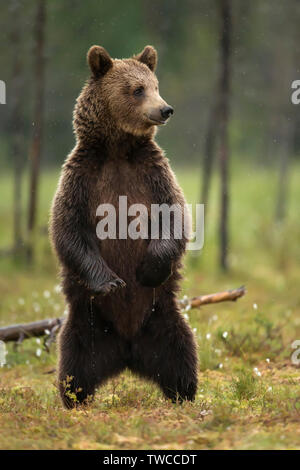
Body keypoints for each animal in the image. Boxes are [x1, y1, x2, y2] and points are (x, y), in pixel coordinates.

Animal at [50, 44, 198, 408]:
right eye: (137, 89)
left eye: (156, 85)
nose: (165, 109)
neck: (118, 148)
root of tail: (128, 350)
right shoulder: (82, 176)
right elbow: (69, 229)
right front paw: (114, 283)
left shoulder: (152, 173)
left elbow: (174, 217)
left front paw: (146, 269)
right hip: (87, 324)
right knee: (74, 364)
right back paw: (74, 398)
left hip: (162, 317)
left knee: (181, 353)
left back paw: (184, 393)